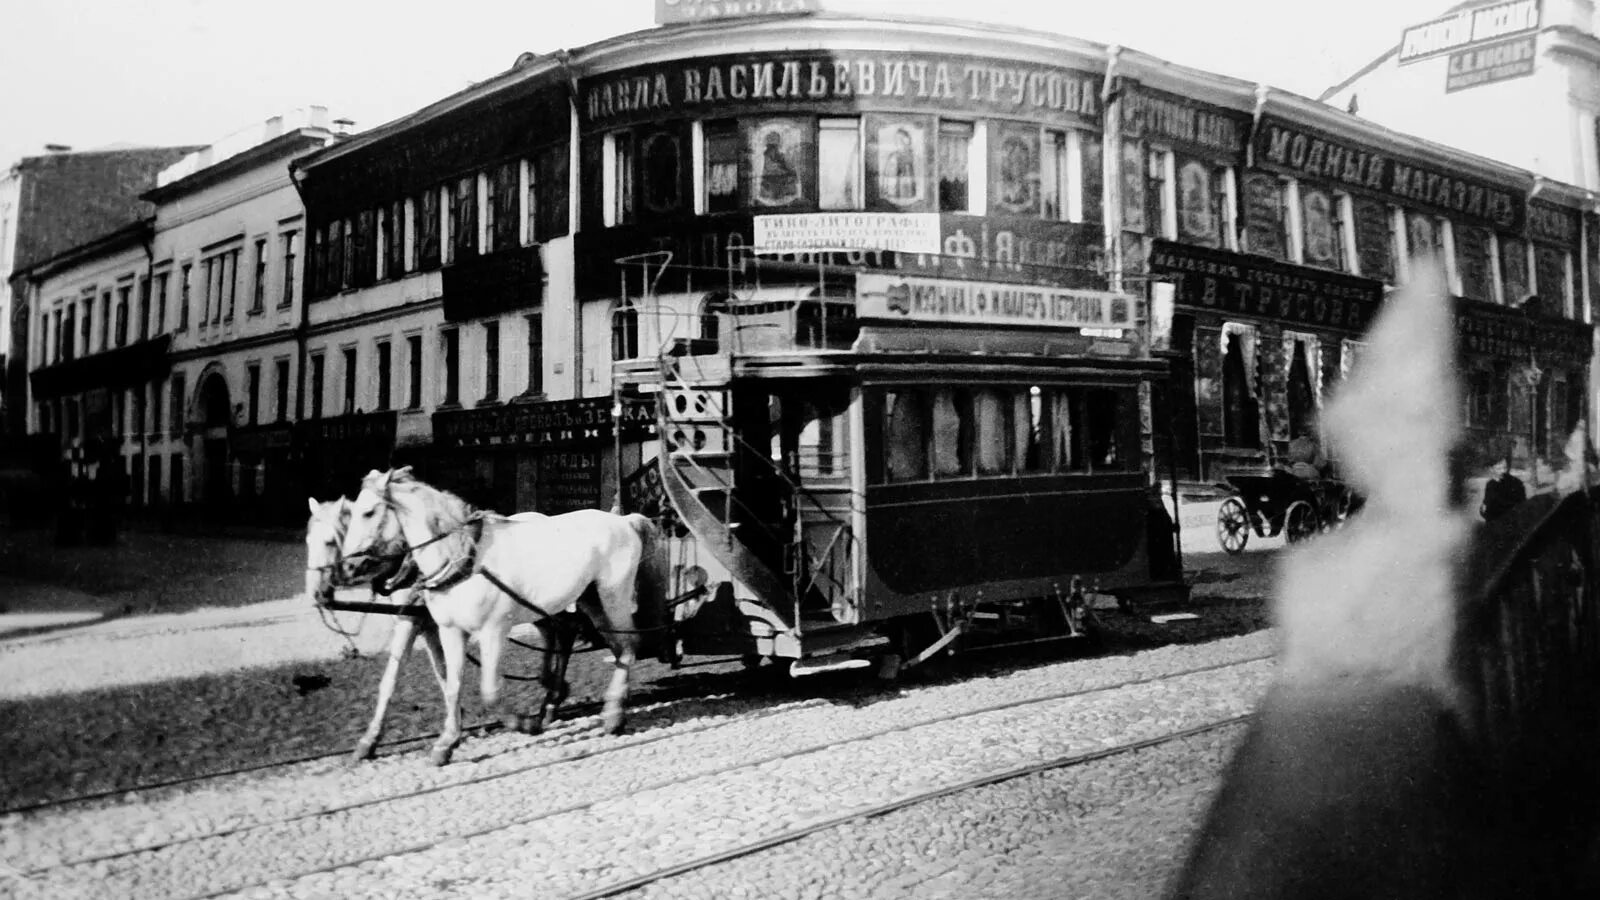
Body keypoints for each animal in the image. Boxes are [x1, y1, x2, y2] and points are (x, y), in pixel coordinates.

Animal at [340, 461, 665, 762]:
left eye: (368, 512)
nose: (348, 567)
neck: (463, 558)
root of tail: (624, 520)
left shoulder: (493, 631)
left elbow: (490, 691)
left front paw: (524, 724)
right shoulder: (447, 629)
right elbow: (450, 684)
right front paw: (446, 742)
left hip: (612, 595)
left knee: (627, 646)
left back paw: (611, 714)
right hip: (586, 599)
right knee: (593, 640)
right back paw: (572, 701)